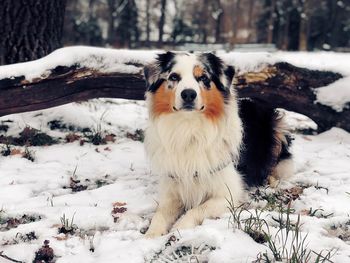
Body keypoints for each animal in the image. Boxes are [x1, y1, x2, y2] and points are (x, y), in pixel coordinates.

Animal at [142, 51, 292, 239]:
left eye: (203, 78)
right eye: (174, 77)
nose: (188, 94)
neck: (189, 128)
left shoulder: (228, 194)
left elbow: (197, 210)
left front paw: (179, 228)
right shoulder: (173, 187)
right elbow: (161, 213)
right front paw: (152, 234)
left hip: (279, 129)